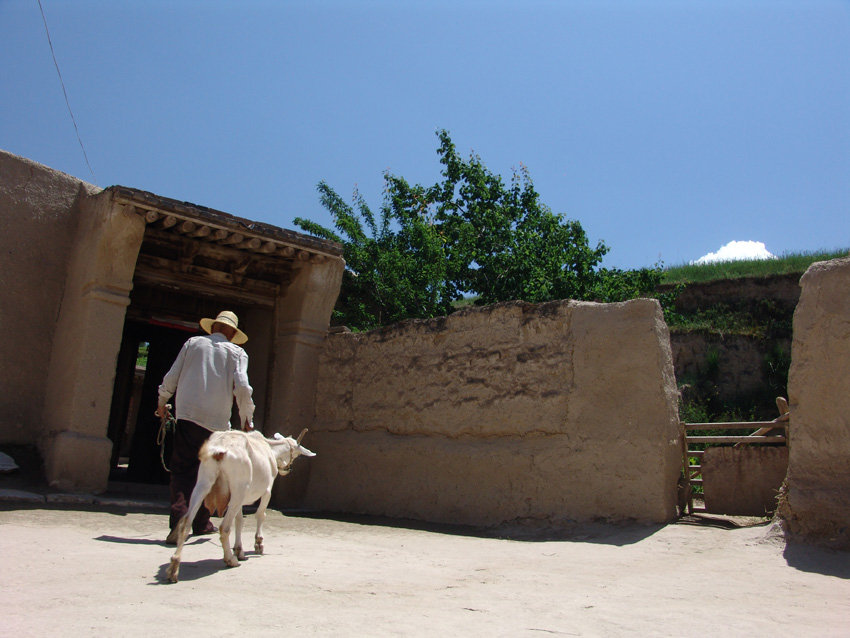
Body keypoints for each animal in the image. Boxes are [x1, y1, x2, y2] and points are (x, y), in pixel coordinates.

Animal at [164, 430, 314, 584]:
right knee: (224, 527)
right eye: (296, 455)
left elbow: (239, 521)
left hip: (204, 482)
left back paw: (173, 568)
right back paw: (230, 560)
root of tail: (219, 451)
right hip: (239, 489)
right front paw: (258, 544)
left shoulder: (239, 501)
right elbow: (260, 515)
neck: (269, 448)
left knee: (186, 522)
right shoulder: (267, 490)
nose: (287, 469)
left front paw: (239, 550)